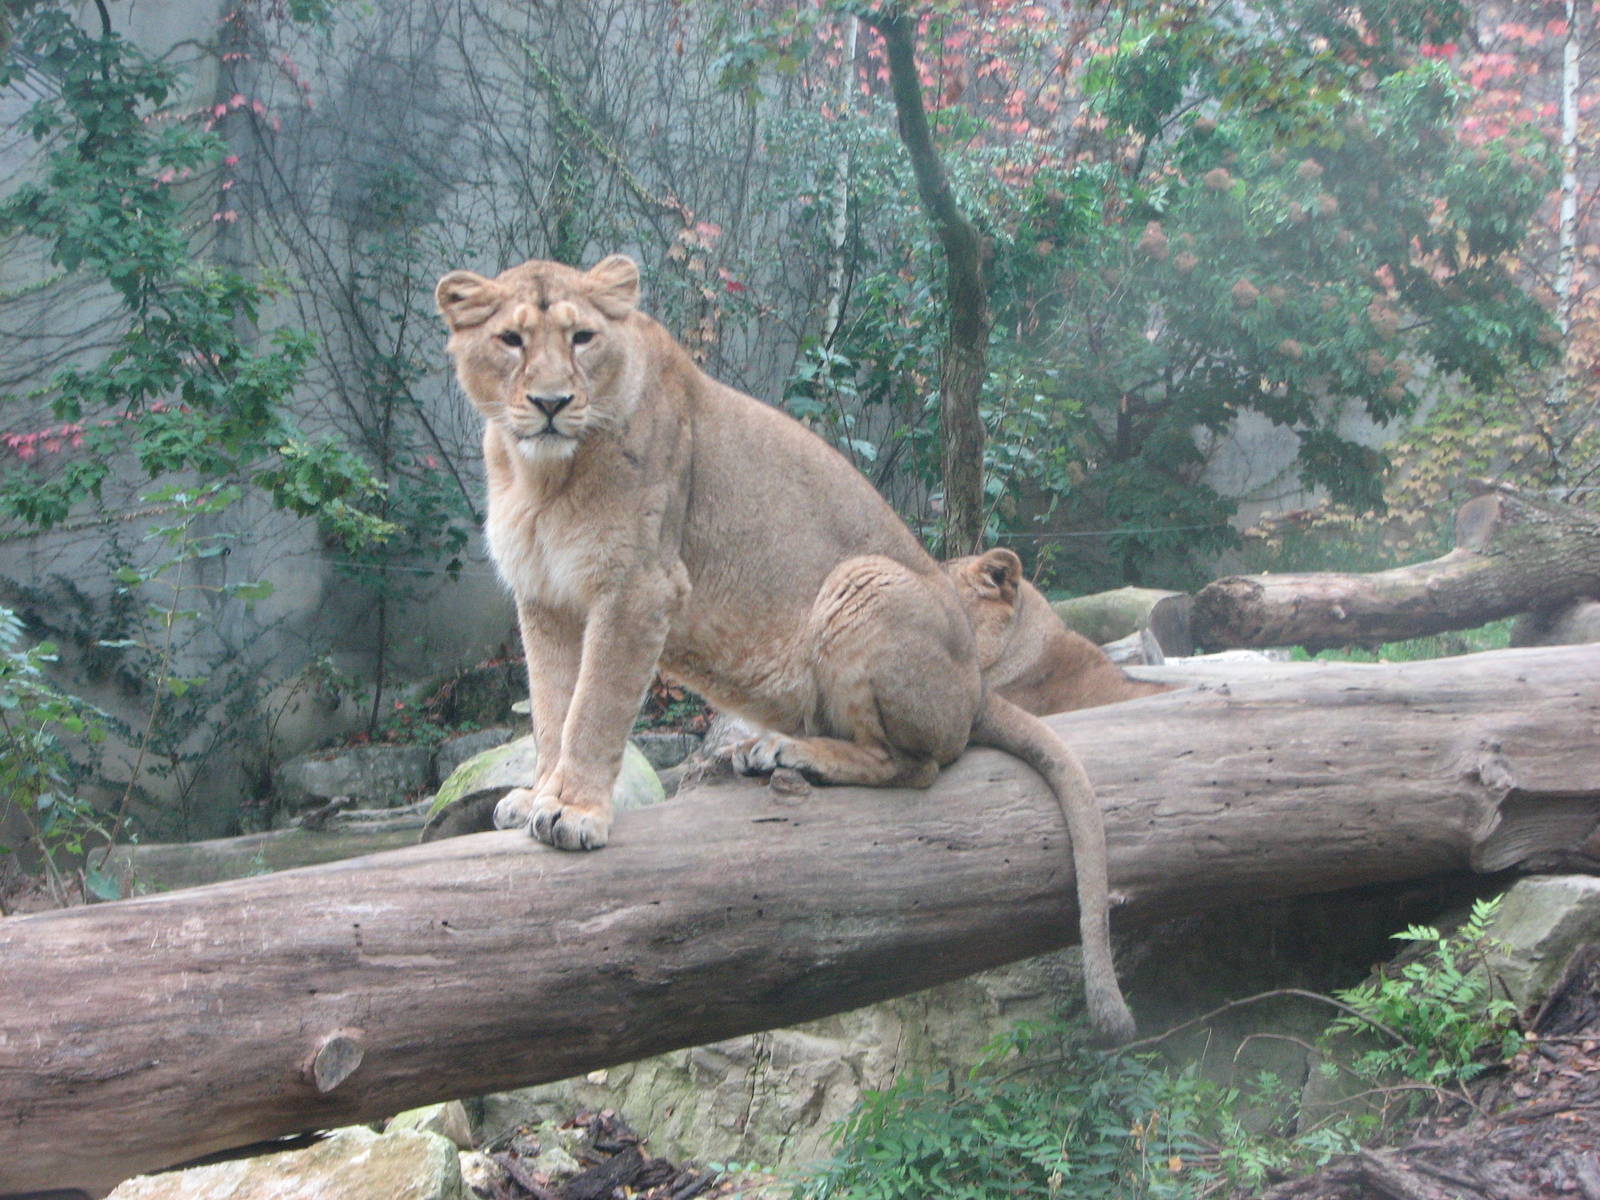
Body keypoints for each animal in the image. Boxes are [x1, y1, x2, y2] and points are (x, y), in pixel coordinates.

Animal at [435, 254, 1134, 1044]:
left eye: (583, 338)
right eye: (512, 340)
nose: (552, 403)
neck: (540, 470)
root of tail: (978, 688)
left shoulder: (641, 586)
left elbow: (594, 710)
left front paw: (575, 811)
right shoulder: (546, 598)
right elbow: (552, 709)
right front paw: (536, 797)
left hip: (864, 583)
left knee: (916, 765)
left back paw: (790, 753)